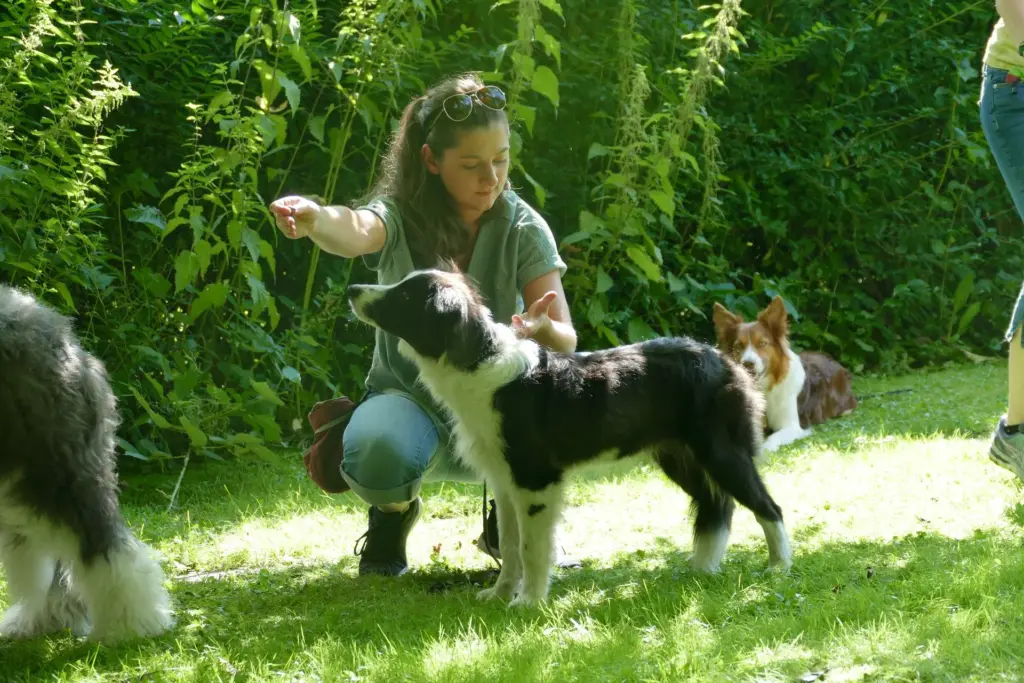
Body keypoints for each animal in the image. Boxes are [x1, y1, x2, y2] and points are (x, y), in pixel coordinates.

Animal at [346, 268, 792, 606]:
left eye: (405, 295)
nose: (352, 290)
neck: (479, 363)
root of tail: (726, 360)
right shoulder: (505, 483)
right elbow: (510, 548)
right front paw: (500, 595)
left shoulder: (536, 480)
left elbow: (532, 548)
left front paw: (529, 603)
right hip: (680, 458)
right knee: (717, 507)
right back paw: (704, 567)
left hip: (722, 453)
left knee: (768, 506)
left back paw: (779, 567)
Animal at [713, 296, 857, 453]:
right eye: (739, 346)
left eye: (762, 343)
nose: (748, 363)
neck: (766, 388)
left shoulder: (793, 427)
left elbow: (772, 438)